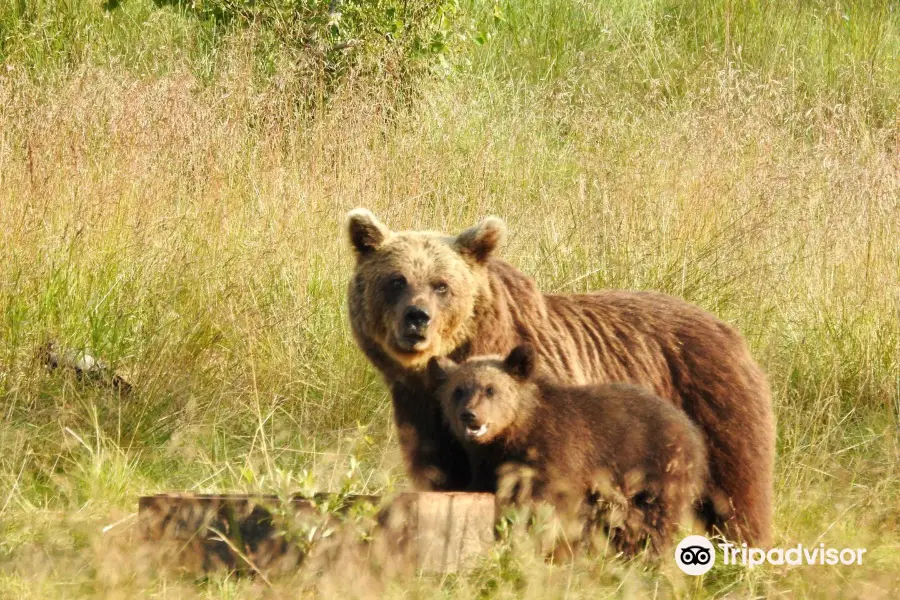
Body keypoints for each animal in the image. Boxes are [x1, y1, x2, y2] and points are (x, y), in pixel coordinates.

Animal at [342, 209, 772, 548]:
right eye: (396, 280)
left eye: (441, 285)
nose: (417, 317)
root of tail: (730, 331)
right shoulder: (422, 414)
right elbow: (442, 474)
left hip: (714, 407)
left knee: (737, 495)